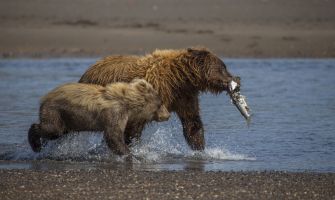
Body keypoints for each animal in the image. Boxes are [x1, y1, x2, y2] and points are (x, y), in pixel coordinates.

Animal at [27, 79, 171, 155]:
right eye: (160, 103)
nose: (167, 115)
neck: (128, 104)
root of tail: (45, 97)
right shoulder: (115, 113)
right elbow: (113, 135)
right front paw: (128, 153)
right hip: (55, 111)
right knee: (52, 129)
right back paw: (36, 144)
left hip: (67, 118)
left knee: (57, 133)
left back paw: (42, 144)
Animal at [79, 48, 242, 151]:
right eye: (223, 67)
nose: (236, 79)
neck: (179, 79)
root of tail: (89, 70)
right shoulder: (154, 92)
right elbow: (134, 126)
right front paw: (133, 146)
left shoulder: (185, 97)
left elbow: (192, 123)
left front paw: (201, 149)